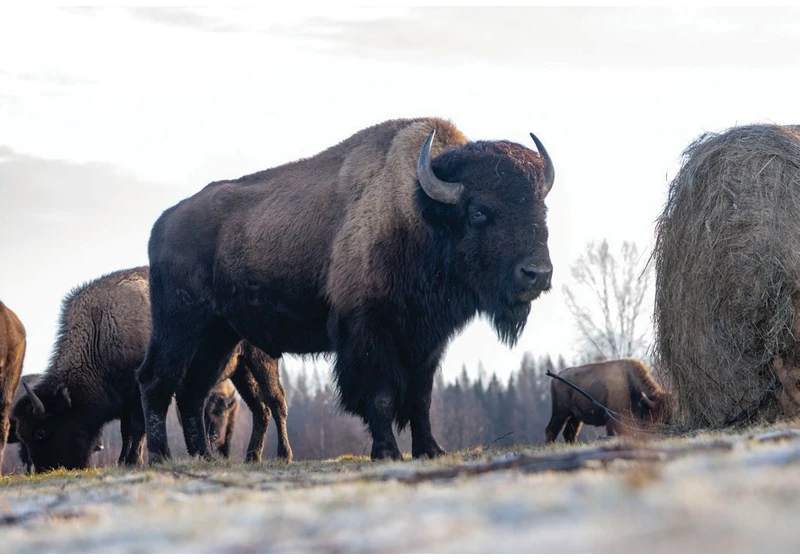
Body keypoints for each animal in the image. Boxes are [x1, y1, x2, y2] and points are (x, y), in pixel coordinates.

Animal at [11, 268, 294, 472]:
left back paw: (284, 456)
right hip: (241, 370)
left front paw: (132, 461)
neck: (102, 329)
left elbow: (137, 428)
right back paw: (252, 458)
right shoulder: (127, 400)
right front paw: (125, 461)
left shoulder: (137, 395)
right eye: (22, 435)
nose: (46, 469)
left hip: (261, 360)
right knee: (260, 408)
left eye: (41, 432)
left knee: (276, 402)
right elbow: (129, 431)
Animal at [138, 116, 556, 462]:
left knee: (192, 390)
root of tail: (163, 223)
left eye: (541, 208)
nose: (537, 273)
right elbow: (381, 396)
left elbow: (421, 398)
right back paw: (162, 457)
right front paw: (386, 451)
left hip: (220, 336)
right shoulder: (368, 331)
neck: (418, 213)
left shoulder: (426, 339)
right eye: (479, 211)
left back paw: (203, 456)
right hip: (180, 324)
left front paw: (430, 449)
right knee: (157, 380)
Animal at [544, 356, 676, 444]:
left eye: (669, 414)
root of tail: (555, 378)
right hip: (560, 412)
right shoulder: (613, 418)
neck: (629, 382)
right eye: (655, 414)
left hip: (575, 416)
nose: (664, 430)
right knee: (551, 429)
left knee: (569, 432)